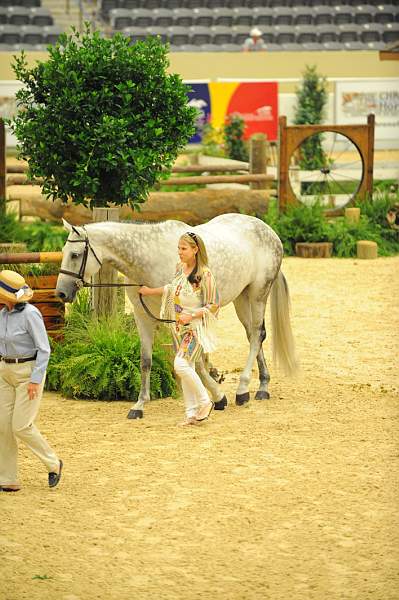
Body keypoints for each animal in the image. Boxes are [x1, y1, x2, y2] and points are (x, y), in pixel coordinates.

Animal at [57, 214, 300, 418]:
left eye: (75, 255)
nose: (61, 293)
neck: (148, 259)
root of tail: (269, 231)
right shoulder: (142, 316)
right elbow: (146, 361)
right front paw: (139, 405)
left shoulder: (175, 319)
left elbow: (190, 361)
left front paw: (216, 398)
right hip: (242, 298)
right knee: (253, 335)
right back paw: (262, 386)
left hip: (258, 294)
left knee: (257, 334)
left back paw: (242, 390)